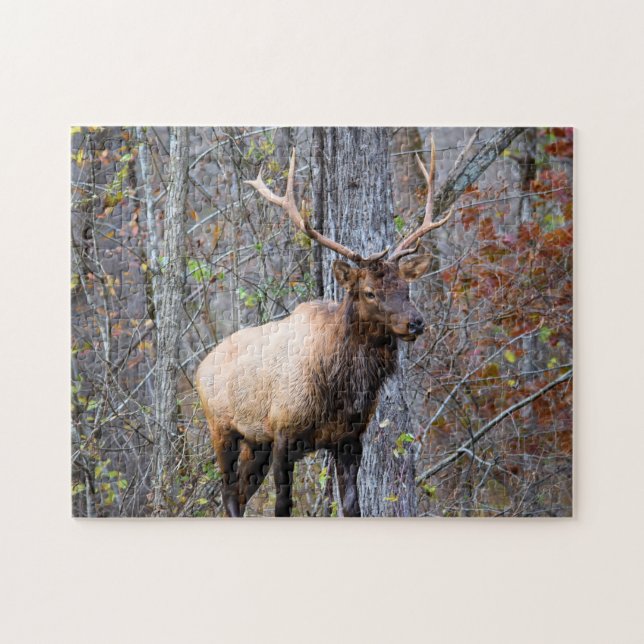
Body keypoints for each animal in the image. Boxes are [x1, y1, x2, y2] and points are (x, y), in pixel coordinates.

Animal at [195, 140, 455, 517]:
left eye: (406, 286)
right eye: (369, 291)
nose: (415, 321)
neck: (340, 386)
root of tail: (199, 369)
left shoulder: (349, 439)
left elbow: (352, 506)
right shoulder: (283, 432)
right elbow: (282, 506)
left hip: (255, 443)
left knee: (239, 494)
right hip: (223, 428)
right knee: (229, 494)